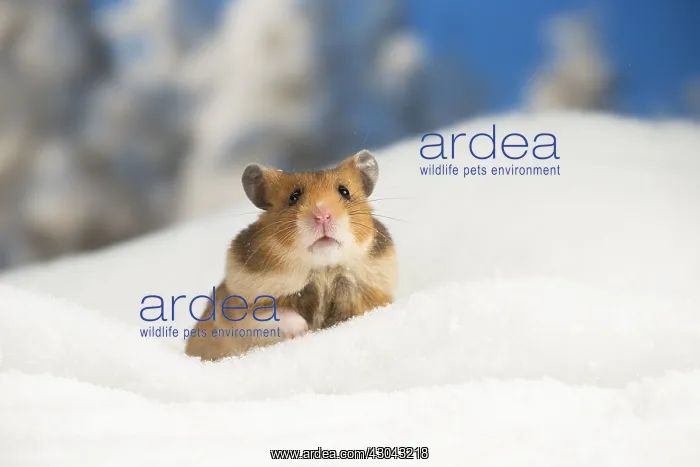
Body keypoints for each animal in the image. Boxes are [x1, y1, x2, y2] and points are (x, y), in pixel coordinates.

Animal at [184, 150, 397, 361]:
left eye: (344, 192)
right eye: (294, 197)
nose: (322, 215)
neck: (323, 271)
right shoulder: (235, 309)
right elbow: (273, 317)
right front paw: (305, 330)